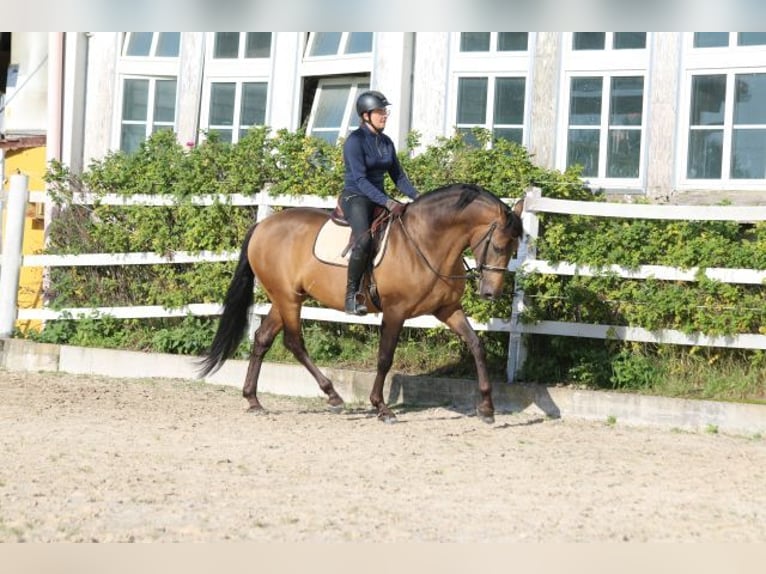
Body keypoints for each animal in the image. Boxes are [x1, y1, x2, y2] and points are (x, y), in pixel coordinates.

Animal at [196, 182, 528, 426]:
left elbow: (476, 345)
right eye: (499, 246)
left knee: (263, 338)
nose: (491, 294)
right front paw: (382, 408)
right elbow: (384, 358)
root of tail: (263, 226)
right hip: (288, 299)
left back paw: (253, 400)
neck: (426, 242)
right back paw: (333, 395)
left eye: (514, 248)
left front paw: (486, 408)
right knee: (294, 342)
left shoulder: (447, 310)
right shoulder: (395, 312)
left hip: (286, 298)